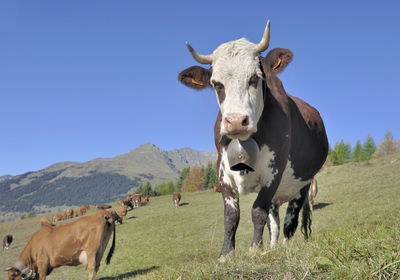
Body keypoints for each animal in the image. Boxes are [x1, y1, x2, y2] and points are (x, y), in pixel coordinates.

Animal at [178, 19, 328, 258]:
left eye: (255, 78)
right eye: (216, 84)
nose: (236, 121)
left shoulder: (273, 171)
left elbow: (258, 210)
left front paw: (255, 249)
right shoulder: (223, 172)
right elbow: (231, 215)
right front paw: (226, 254)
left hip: (303, 184)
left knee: (290, 221)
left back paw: (284, 248)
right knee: (274, 222)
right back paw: (273, 248)